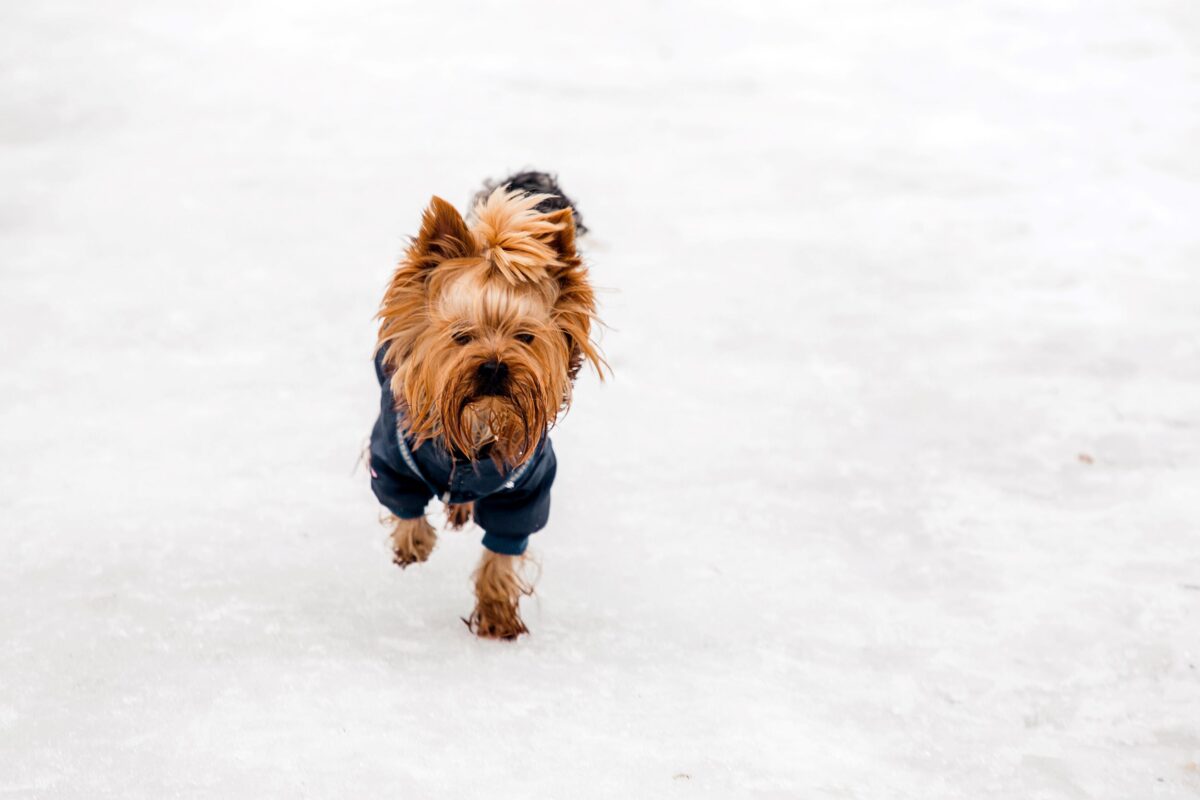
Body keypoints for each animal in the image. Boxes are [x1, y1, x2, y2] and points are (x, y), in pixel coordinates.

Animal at [364, 170, 604, 638]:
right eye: (461, 335)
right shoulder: (392, 450)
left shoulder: (527, 485)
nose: (494, 366)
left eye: (525, 337)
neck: (479, 415)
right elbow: (402, 503)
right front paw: (413, 545)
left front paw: (496, 614)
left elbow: (504, 548)